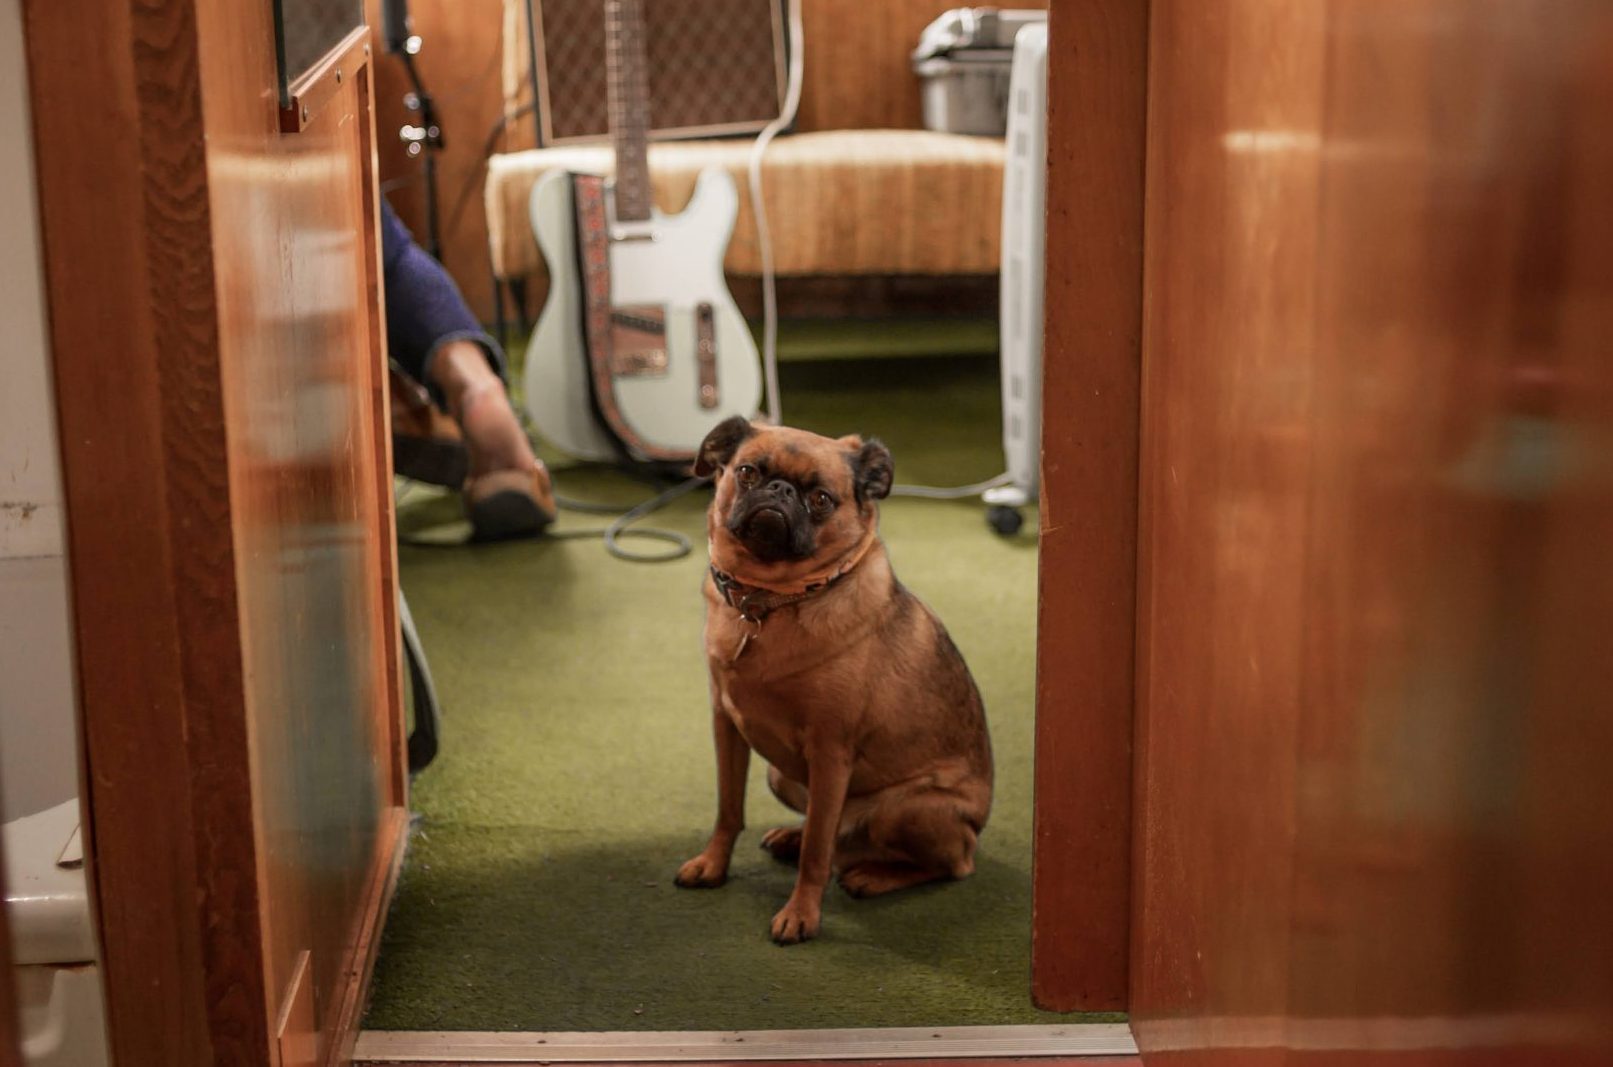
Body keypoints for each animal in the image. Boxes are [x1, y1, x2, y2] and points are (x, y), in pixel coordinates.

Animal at [674, 416, 993, 944]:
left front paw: (801, 913)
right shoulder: (726, 726)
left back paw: (871, 875)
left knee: (949, 864)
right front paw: (713, 865)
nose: (780, 490)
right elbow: (728, 810)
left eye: (822, 499)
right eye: (748, 472)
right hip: (782, 775)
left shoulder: (830, 752)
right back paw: (792, 836)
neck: (767, 604)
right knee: (830, 830)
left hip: (904, 810)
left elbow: (818, 852)